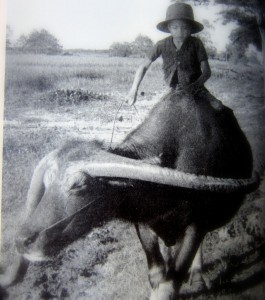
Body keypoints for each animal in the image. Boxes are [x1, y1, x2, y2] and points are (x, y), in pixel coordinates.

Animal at [0, 90, 256, 298]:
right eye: (47, 182)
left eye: (78, 185)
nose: (22, 241)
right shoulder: (143, 222)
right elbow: (156, 273)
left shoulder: (197, 225)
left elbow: (168, 286)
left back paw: (199, 276)